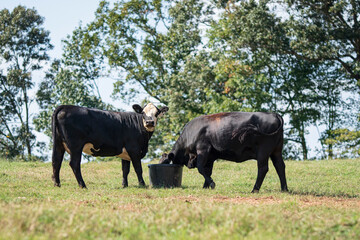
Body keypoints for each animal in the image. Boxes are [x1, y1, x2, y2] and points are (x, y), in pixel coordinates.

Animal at [159, 111, 288, 192]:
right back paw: (284, 189)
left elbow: (200, 168)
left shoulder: (203, 149)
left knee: (263, 169)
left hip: (263, 152)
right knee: (280, 166)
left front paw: (211, 184)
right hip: (276, 151)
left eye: (165, 162)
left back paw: (254, 190)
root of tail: (274, 114)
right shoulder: (210, 156)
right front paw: (205, 187)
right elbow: (208, 170)